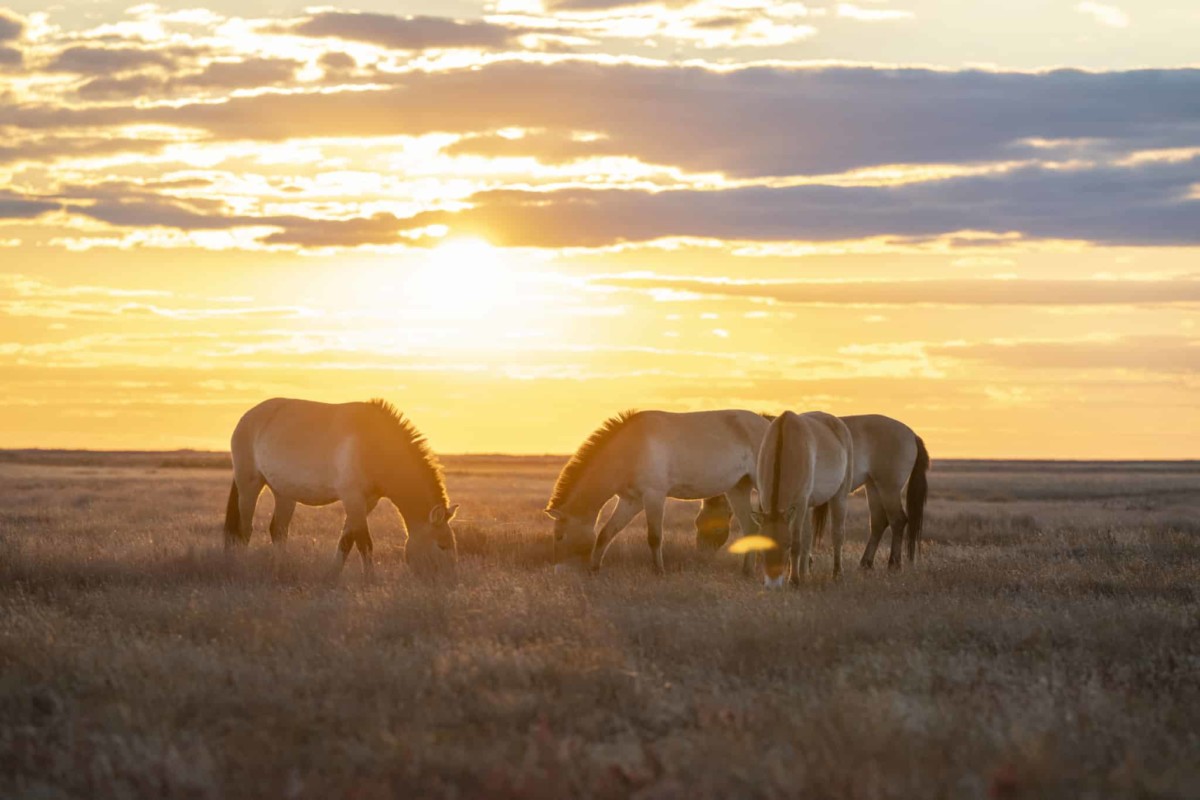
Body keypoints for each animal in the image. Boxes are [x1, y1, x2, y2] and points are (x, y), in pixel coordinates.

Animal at [224, 398, 459, 580]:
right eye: (442, 545)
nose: (450, 583)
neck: (374, 445)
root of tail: (247, 417)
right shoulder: (352, 497)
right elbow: (364, 542)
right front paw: (370, 581)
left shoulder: (366, 502)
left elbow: (346, 541)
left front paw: (332, 577)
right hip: (249, 485)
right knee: (245, 530)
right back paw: (242, 569)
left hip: (283, 493)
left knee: (278, 531)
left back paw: (280, 571)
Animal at [545, 409, 770, 575]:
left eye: (560, 536)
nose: (558, 571)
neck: (630, 449)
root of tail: (769, 425)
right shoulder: (631, 501)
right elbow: (606, 533)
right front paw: (595, 569)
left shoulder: (654, 496)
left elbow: (654, 537)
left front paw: (659, 571)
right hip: (737, 489)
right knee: (751, 527)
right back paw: (747, 572)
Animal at [697, 413, 929, 570]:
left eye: (714, 527)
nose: (702, 553)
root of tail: (911, 434)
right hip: (873, 486)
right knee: (880, 521)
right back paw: (866, 563)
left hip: (888, 486)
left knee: (898, 520)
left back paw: (893, 564)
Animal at [751, 411, 854, 588]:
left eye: (786, 544)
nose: (773, 585)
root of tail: (839, 424)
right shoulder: (765, 499)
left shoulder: (800, 503)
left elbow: (797, 543)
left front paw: (793, 580)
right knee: (808, 537)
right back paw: (805, 573)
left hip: (839, 497)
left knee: (837, 534)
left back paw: (837, 574)